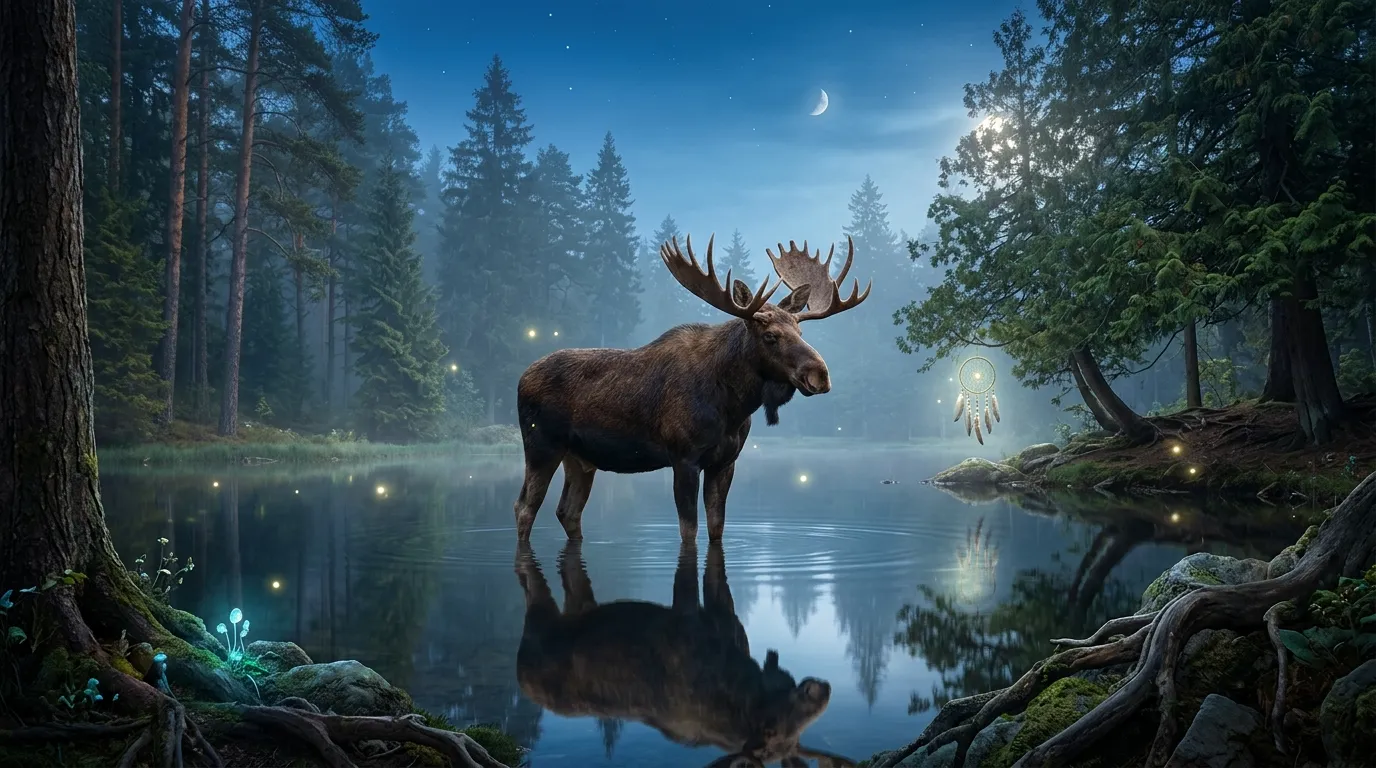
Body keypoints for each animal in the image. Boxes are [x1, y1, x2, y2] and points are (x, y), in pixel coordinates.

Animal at [513, 233, 870, 542]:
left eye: (801, 332)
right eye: (770, 336)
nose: (819, 375)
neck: (733, 406)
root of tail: (520, 379)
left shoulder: (725, 462)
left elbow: (716, 527)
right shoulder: (684, 458)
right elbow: (689, 530)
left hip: (580, 458)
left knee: (567, 511)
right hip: (541, 446)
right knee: (524, 507)